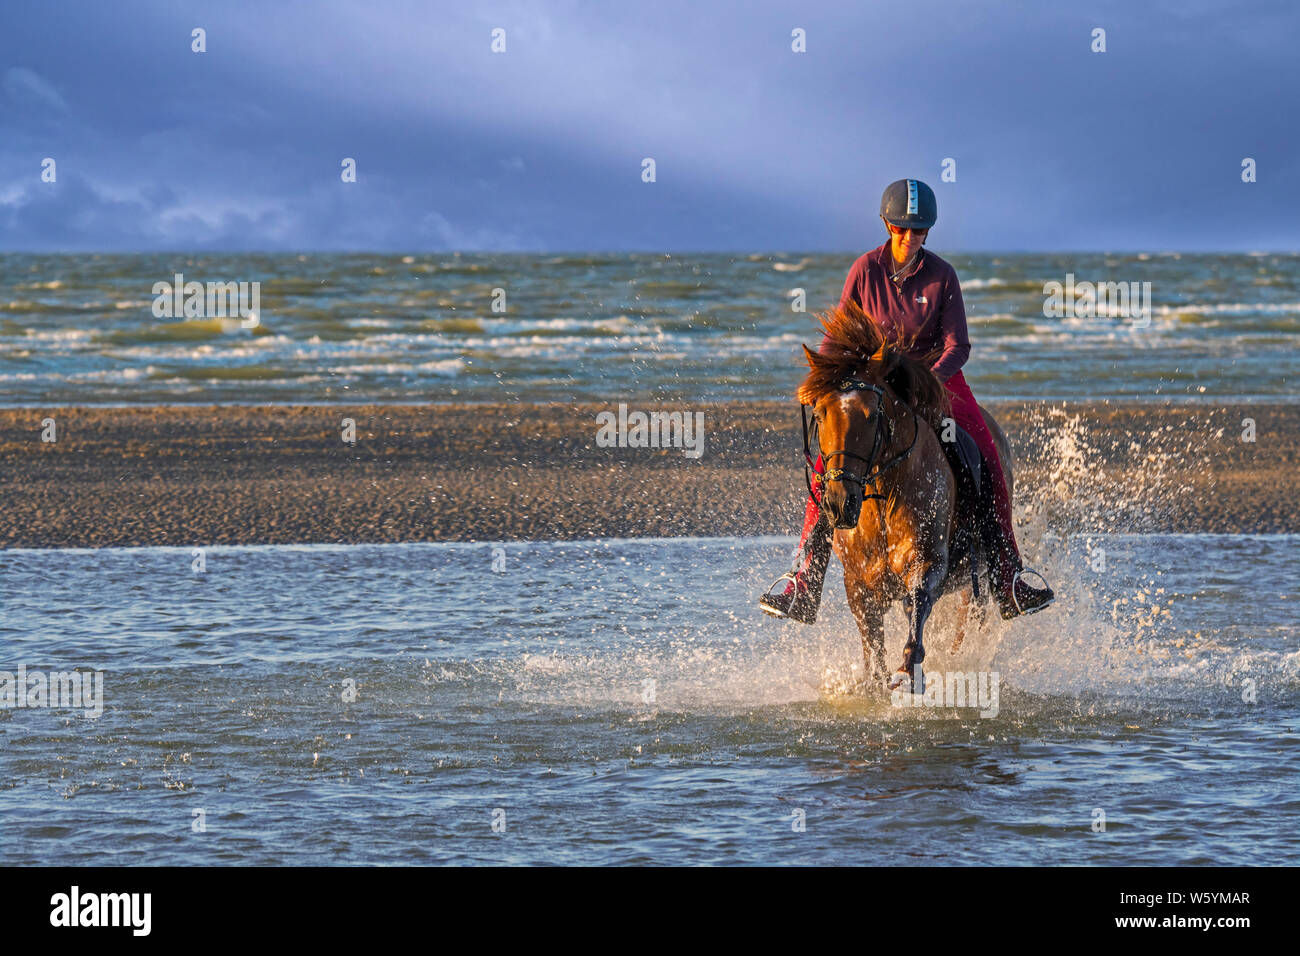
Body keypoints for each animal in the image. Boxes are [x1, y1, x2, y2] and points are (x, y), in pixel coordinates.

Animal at [797, 301, 1015, 693]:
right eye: (820, 414)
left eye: (871, 416)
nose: (839, 503)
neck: (883, 500)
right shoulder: (859, 585)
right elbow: (873, 645)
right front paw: (875, 682)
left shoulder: (928, 563)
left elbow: (917, 605)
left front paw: (909, 671)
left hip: (977, 582)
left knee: (967, 622)